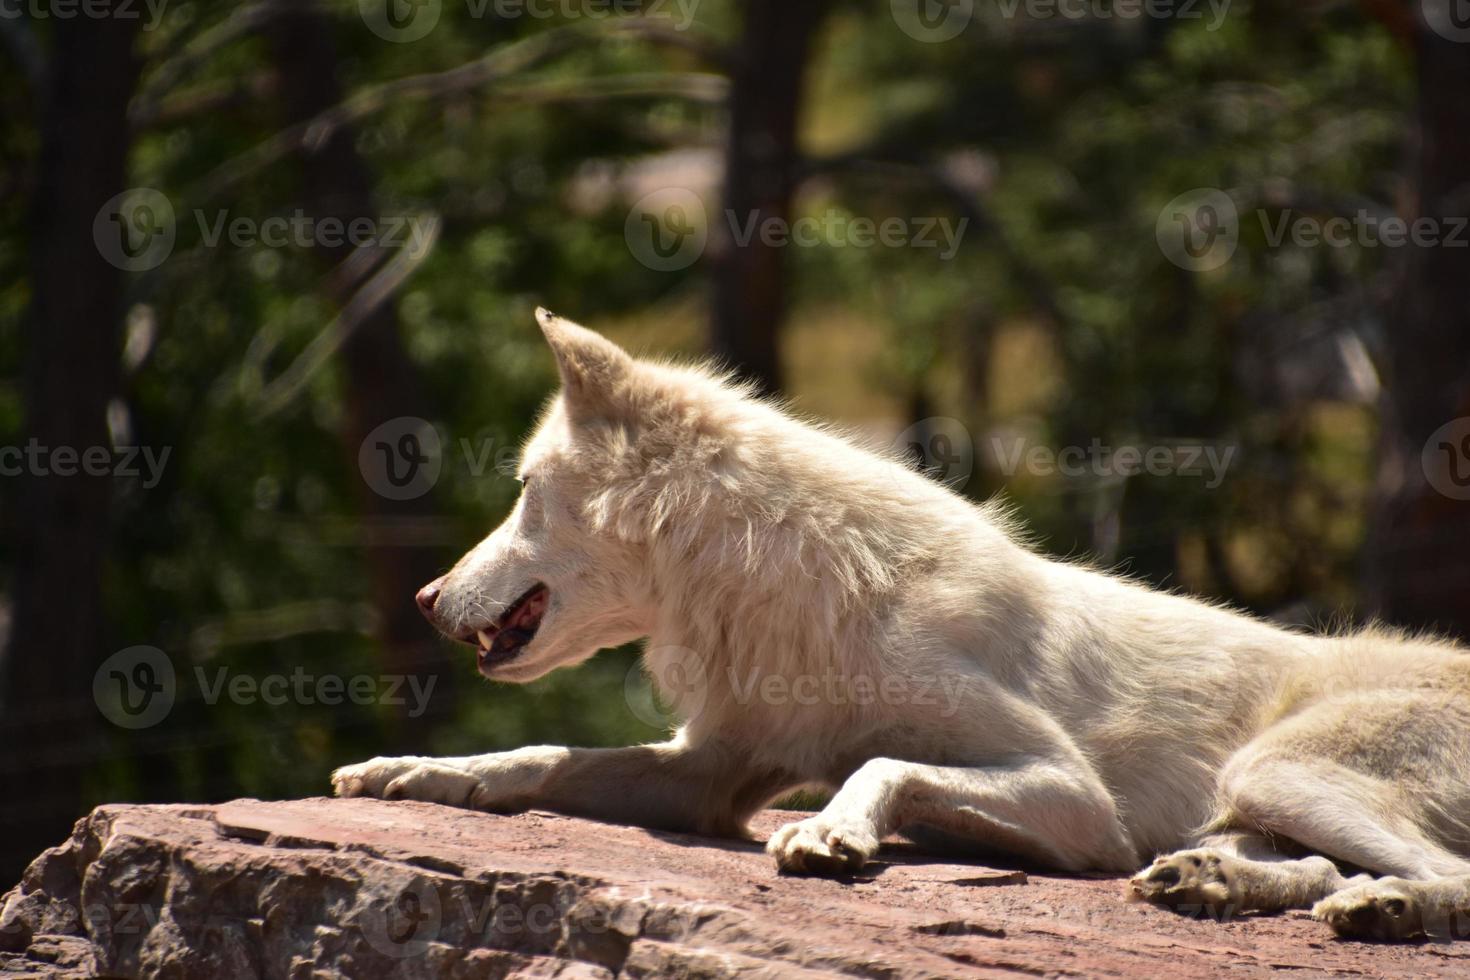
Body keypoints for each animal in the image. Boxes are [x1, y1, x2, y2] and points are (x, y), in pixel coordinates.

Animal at [333, 312, 1470, 940]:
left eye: (523, 488)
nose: (426, 596)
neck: (782, 589)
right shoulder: (711, 772)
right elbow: (535, 756)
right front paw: (409, 772)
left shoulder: (1080, 805)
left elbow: (881, 761)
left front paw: (832, 831)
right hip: (1249, 802)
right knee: (1318, 869)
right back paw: (1217, 883)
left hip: (1278, 770)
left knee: (1439, 876)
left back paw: (1383, 913)